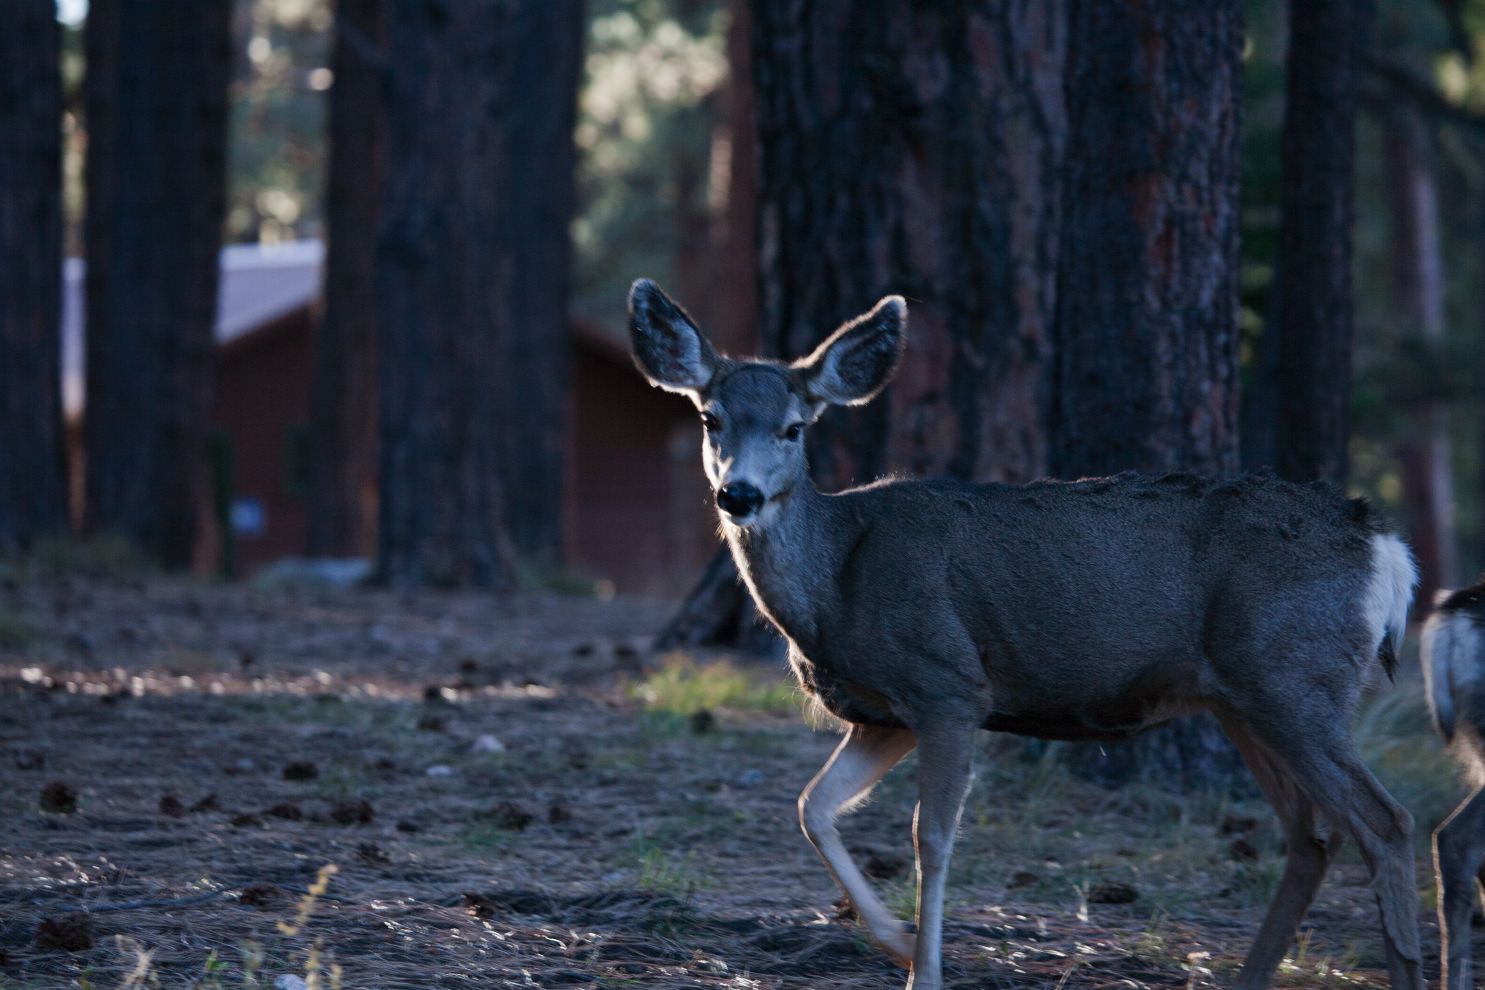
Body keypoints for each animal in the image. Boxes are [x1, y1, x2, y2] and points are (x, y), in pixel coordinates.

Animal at [627, 277, 1423, 990]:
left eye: (794, 427)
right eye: (710, 419)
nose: (738, 495)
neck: (836, 584)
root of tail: (1385, 548)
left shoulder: (947, 684)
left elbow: (930, 837)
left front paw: (925, 970)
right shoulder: (884, 713)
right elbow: (812, 807)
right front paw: (896, 943)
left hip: (1291, 678)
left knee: (1385, 823)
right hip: (1246, 697)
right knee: (1312, 836)